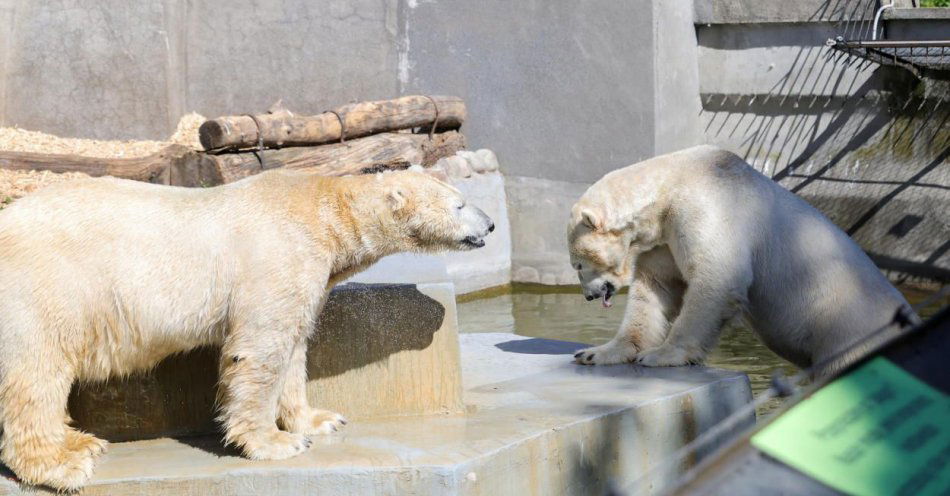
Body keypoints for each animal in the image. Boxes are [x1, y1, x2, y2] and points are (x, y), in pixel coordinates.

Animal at [0, 166, 494, 488]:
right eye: (460, 203)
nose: (490, 223)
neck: (323, 209)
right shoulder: (277, 255)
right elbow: (259, 351)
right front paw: (275, 443)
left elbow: (294, 346)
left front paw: (319, 420)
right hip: (47, 288)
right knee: (37, 372)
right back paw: (60, 464)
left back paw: (80, 442)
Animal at [568, 145, 920, 374]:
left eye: (578, 265)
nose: (588, 296)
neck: (670, 184)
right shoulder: (664, 237)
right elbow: (656, 288)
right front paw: (595, 353)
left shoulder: (706, 208)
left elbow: (715, 278)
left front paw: (663, 355)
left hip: (848, 330)